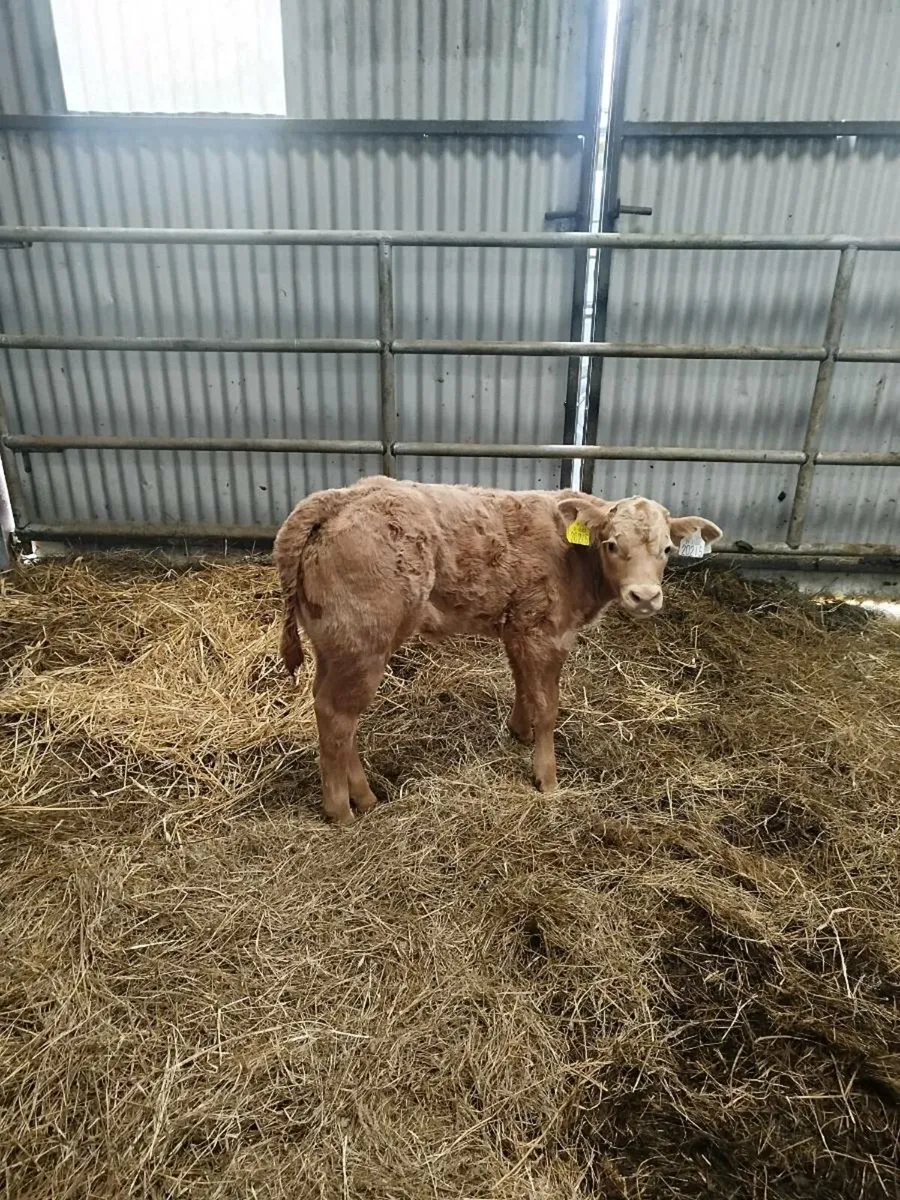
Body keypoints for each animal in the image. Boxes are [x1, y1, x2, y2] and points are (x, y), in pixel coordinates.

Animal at [273, 476, 722, 824]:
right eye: (611, 544)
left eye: (667, 549)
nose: (644, 596)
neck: (574, 556)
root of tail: (341, 497)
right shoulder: (545, 631)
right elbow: (547, 705)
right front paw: (547, 778)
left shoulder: (518, 629)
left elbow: (522, 683)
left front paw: (519, 731)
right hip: (364, 643)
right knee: (338, 716)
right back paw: (344, 809)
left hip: (334, 645)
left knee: (327, 707)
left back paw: (362, 797)